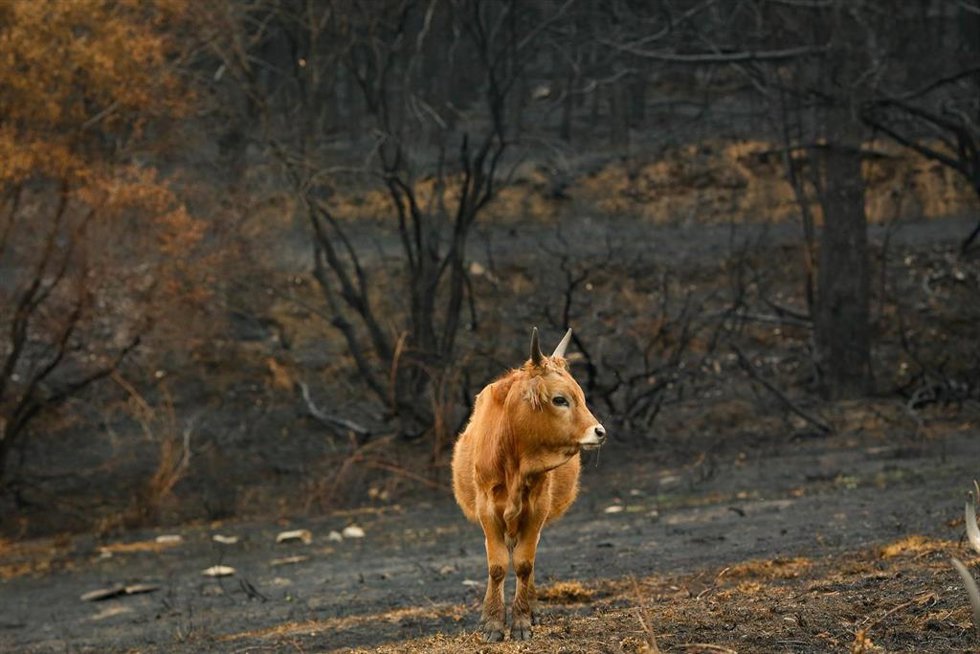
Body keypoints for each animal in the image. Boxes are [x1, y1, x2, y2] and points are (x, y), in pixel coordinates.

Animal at [451, 327, 606, 642]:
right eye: (559, 399)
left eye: (581, 397)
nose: (599, 431)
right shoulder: (488, 510)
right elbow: (497, 567)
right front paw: (492, 623)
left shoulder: (536, 510)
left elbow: (524, 565)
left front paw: (522, 621)